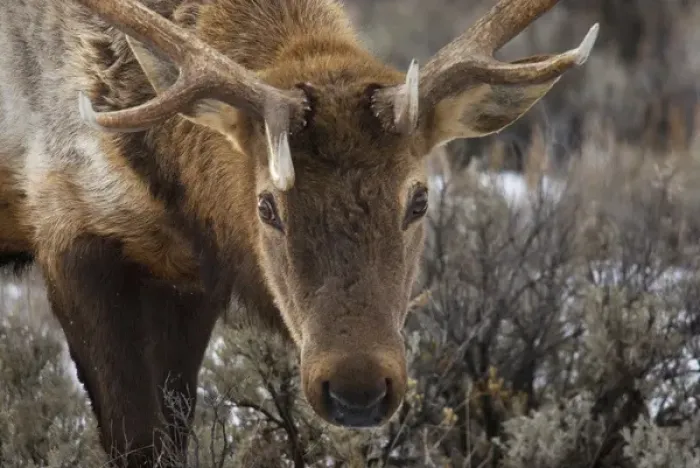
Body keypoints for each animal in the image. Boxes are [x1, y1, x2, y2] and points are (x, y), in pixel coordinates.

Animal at [0, 0, 597, 465]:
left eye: (420, 199)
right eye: (267, 206)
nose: (357, 389)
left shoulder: (185, 274)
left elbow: (172, 434)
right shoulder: (68, 224)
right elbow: (136, 442)